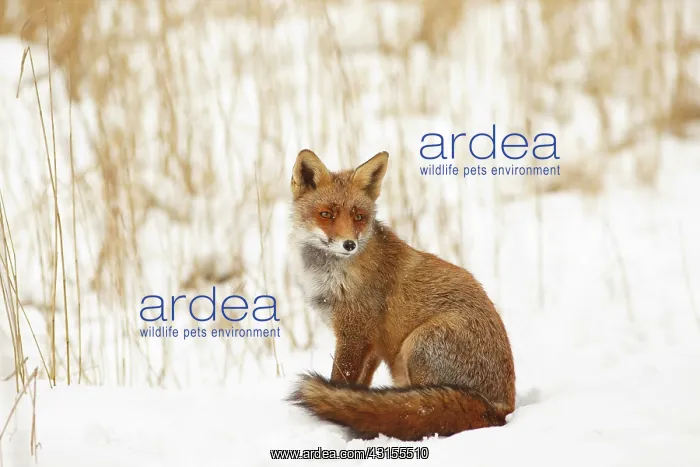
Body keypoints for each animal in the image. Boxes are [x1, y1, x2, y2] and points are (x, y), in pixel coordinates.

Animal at [287, 149, 516, 442]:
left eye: (359, 216)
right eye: (326, 214)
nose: (349, 244)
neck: (331, 275)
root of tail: (500, 409)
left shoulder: (354, 332)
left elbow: (338, 381)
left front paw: (332, 422)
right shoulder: (370, 343)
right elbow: (357, 388)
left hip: (418, 346)